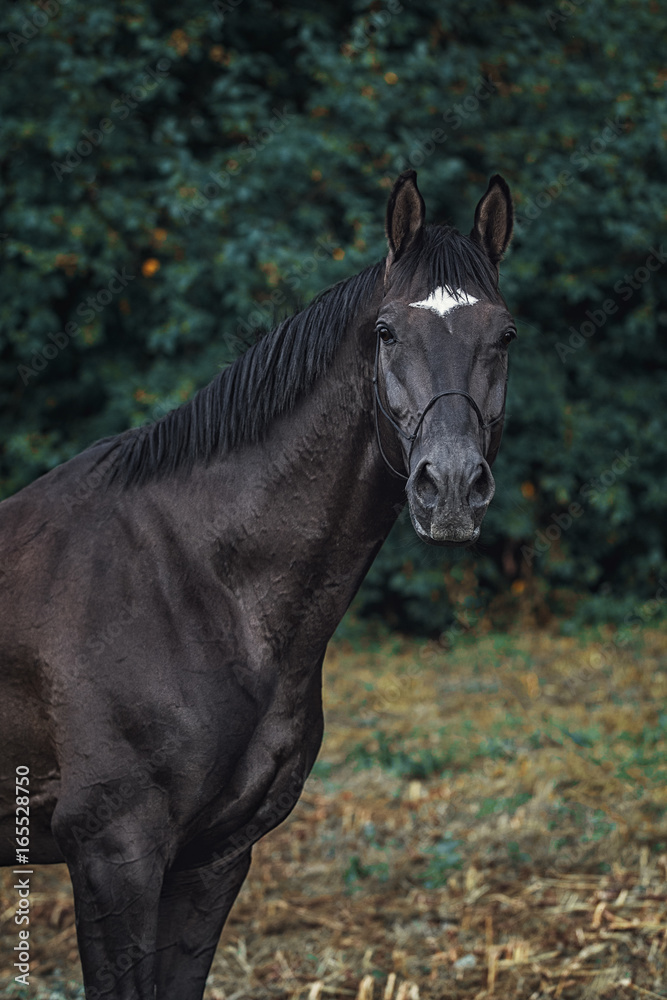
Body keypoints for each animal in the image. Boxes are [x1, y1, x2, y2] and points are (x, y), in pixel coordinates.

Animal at [0, 169, 515, 999]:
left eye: (503, 336)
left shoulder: (214, 859)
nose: (450, 490)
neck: (200, 584)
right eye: (385, 332)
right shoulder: (113, 855)